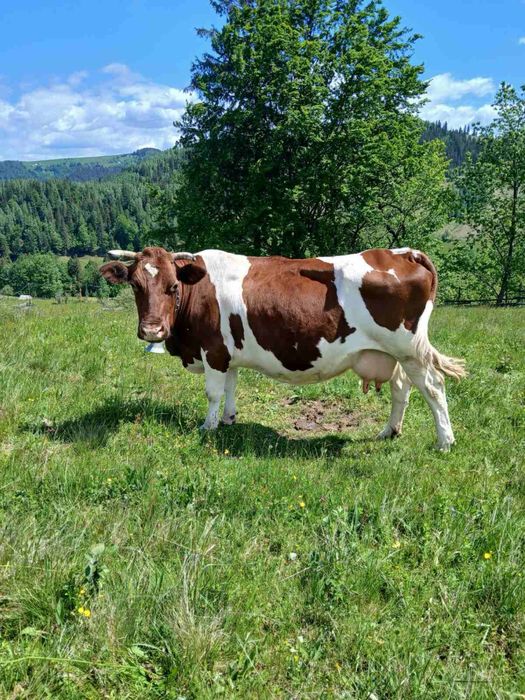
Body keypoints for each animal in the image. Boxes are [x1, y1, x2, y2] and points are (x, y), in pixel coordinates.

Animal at [100, 247, 465, 451]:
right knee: (402, 388)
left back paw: (445, 441)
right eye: (136, 286)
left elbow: (213, 392)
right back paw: (389, 431)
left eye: (173, 285)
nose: (152, 330)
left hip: (409, 349)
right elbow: (231, 386)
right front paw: (229, 419)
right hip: (393, 354)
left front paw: (208, 426)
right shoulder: (227, 354)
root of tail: (402, 252)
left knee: (434, 387)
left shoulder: (213, 351)